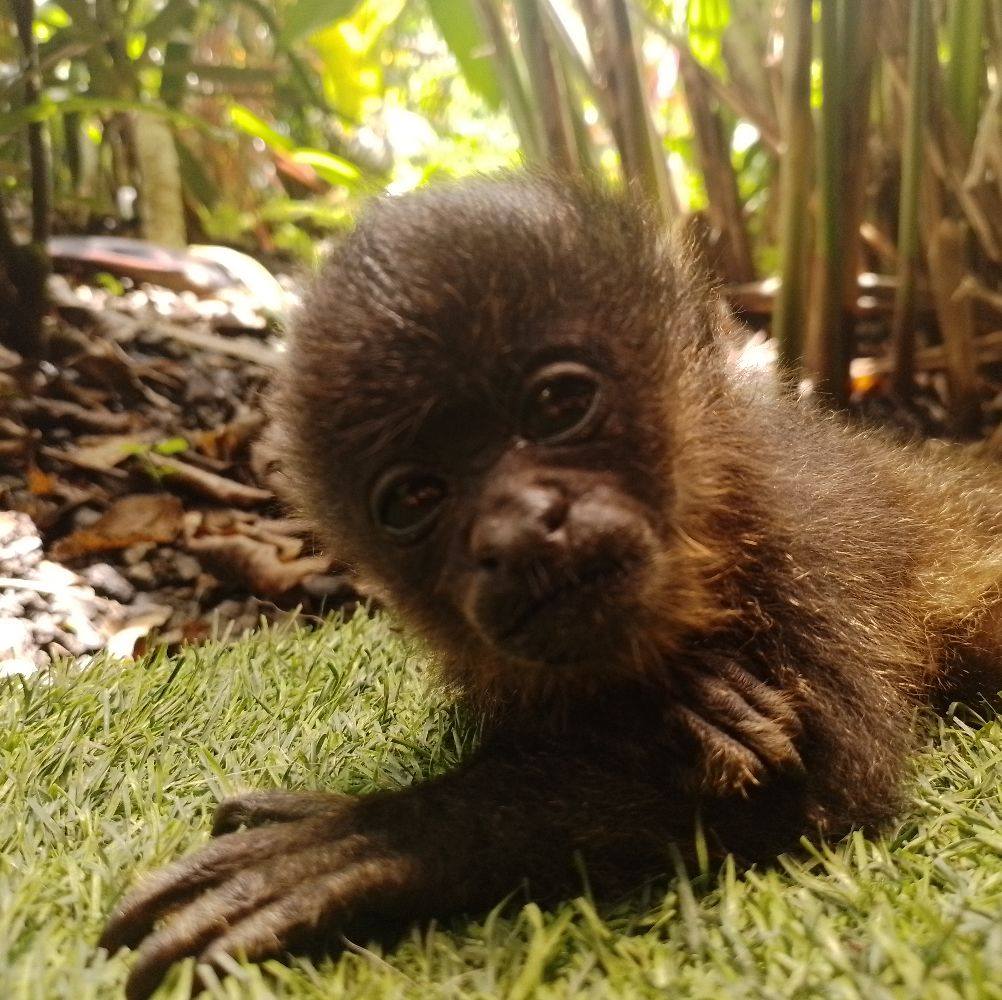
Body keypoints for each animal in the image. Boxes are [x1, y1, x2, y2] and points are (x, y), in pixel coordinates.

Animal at [101, 174, 1002, 1000]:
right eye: (415, 498)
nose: (519, 528)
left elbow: (835, 781)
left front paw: (377, 835)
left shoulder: (809, 538)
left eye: (561, 403)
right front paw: (684, 705)